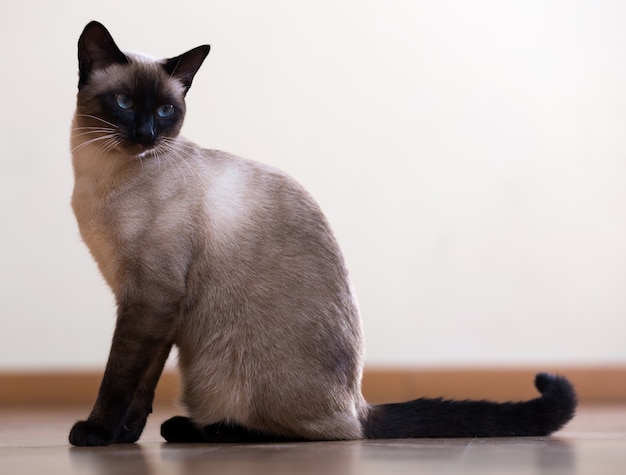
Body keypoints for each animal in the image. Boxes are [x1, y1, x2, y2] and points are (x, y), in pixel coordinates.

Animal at [68, 22, 576, 446]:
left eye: (166, 110)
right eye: (125, 104)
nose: (146, 134)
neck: (101, 177)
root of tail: (359, 406)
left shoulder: (151, 300)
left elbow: (119, 378)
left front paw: (96, 434)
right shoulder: (151, 309)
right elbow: (141, 385)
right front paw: (124, 437)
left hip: (219, 374)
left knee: (310, 433)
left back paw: (194, 429)